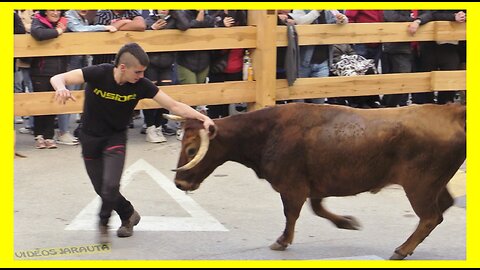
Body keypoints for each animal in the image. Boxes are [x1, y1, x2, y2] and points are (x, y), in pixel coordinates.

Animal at [168, 103, 464, 260]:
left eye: (192, 150)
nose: (180, 184)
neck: (268, 132)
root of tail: (450, 111)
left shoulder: (292, 187)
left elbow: (292, 214)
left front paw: (282, 241)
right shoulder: (315, 186)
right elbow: (318, 208)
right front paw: (347, 222)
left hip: (419, 186)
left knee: (430, 216)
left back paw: (402, 249)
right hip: (433, 185)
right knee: (443, 207)